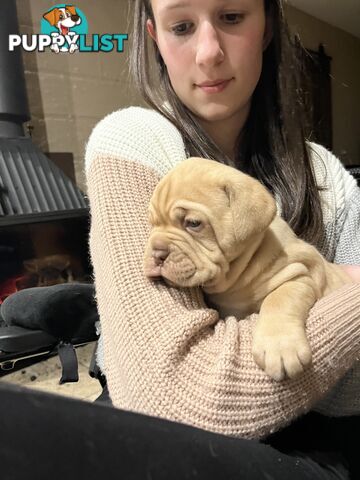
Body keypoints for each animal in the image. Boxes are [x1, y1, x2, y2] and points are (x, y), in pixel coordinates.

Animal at [143, 159, 352, 380]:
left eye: (193, 223)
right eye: (152, 223)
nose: (157, 252)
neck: (240, 271)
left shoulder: (299, 275)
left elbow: (278, 300)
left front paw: (279, 347)